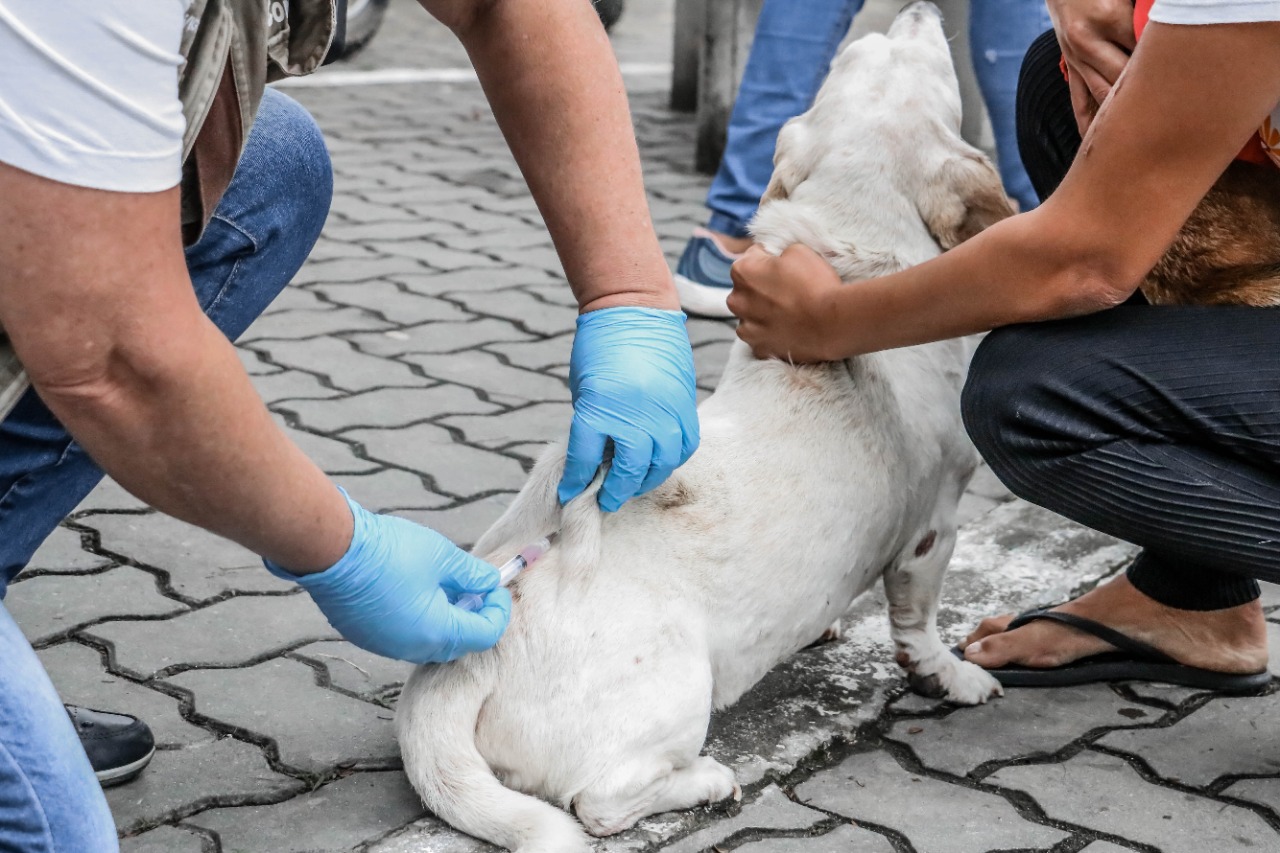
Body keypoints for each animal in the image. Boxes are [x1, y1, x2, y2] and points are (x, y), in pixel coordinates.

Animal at [396, 4, 1008, 845]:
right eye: (924, 65)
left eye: (852, 60)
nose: (915, 11)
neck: (850, 248)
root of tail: (465, 663)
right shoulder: (934, 527)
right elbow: (919, 621)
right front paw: (953, 674)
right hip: (675, 694)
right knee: (602, 800)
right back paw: (708, 779)